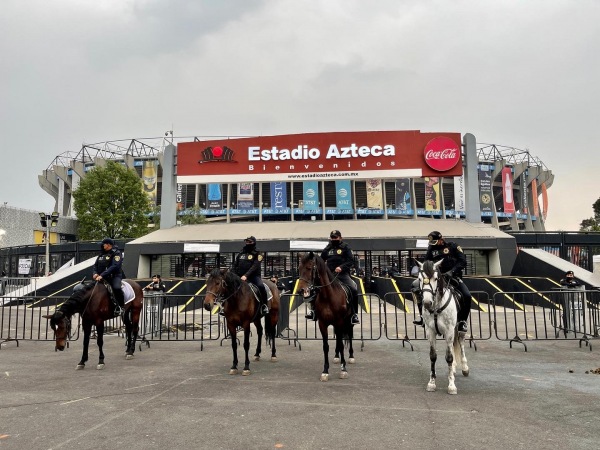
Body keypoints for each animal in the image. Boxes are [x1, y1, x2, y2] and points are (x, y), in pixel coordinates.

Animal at [298, 251, 354, 382]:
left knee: (349, 335)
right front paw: (325, 371)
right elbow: (326, 346)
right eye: (299, 268)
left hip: (348, 321)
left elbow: (341, 343)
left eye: (309, 268)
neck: (328, 296)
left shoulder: (339, 321)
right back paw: (336, 356)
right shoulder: (322, 323)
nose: (301, 290)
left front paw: (343, 369)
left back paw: (351, 356)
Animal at [418, 260, 468, 394]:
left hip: (459, 328)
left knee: (460, 342)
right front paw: (431, 383)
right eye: (419, 279)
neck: (436, 307)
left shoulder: (449, 331)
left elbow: (449, 357)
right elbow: (433, 356)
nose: (427, 303)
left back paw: (465, 367)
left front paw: (451, 385)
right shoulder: (430, 331)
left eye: (436, 278)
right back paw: (455, 367)